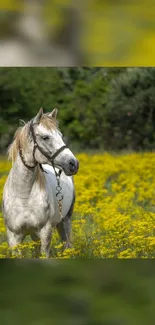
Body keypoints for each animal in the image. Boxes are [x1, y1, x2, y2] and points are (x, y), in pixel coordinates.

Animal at [2, 107, 78, 256]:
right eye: (45, 137)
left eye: (60, 135)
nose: (73, 164)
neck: (23, 195)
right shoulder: (14, 237)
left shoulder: (45, 232)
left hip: (65, 222)